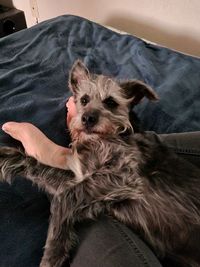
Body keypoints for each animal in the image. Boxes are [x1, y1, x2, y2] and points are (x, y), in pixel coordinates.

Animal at [0, 60, 200, 267]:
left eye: (111, 102)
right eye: (84, 100)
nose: (87, 118)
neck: (102, 140)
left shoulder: (124, 176)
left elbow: (64, 196)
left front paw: (54, 252)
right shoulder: (83, 178)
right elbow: (43, 170)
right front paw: (8, 159)